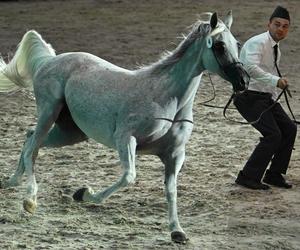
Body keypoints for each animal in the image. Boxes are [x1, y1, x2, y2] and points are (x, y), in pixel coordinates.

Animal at [0, 10, 248, 243]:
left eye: (236, 44)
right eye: (219, 45)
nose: (243, 82)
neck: (166, 98)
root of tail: (49, 61)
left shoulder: (175, 154)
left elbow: (171, 190)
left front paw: (177, 231)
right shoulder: (125, 139)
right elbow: (129, 176)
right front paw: (84, 194)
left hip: (70, 133)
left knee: (30, 139)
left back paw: (12, 181)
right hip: (48, 112)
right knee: (32, 147)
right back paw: (29, 199)